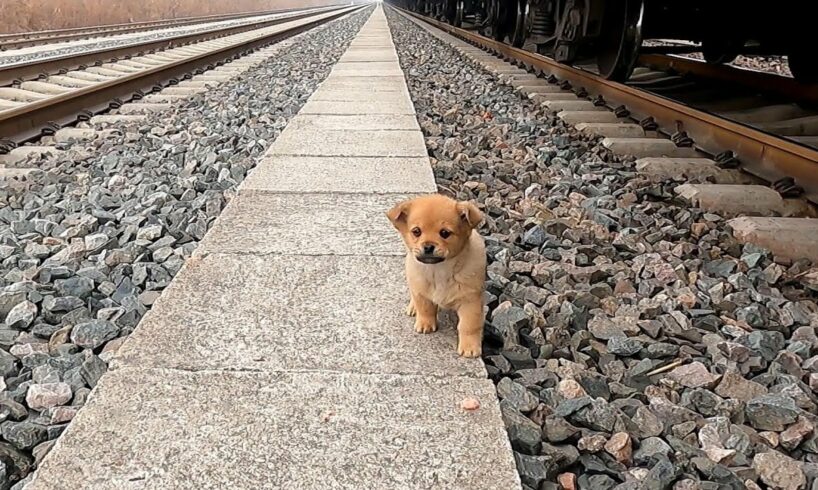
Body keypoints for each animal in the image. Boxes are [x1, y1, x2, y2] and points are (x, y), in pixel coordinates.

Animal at [388, 193, 484, 358]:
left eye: (445, 233)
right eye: (416, 231)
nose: (428, 246)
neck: (439, 271)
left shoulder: (471, 301)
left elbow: (469, 326)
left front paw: (470, 347)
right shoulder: (421, 292)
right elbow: (425, 308)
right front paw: (425, 324)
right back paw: (413, 307)